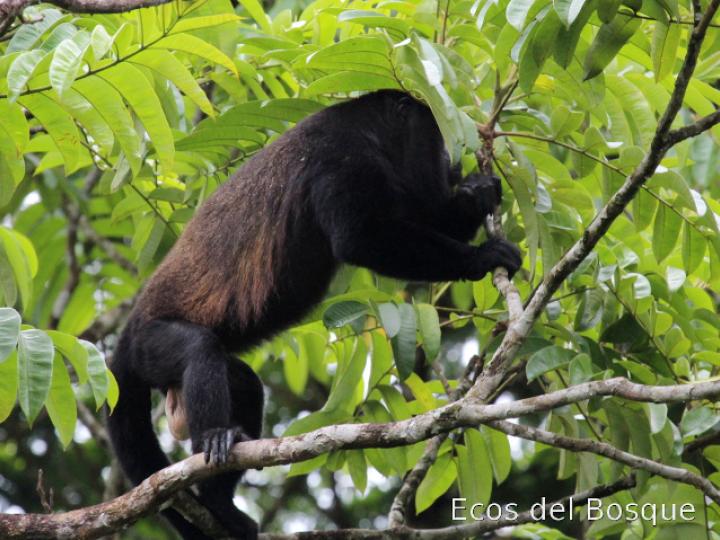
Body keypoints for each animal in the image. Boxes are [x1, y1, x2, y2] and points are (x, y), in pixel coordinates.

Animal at [106, 89, 522, 540]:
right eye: (438, 140)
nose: (452, 162)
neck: (369, 130)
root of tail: (122, 343)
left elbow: (423, 217)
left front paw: (479, 192)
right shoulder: (342, 159)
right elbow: (361, 239)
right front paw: (481, 257)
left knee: (245, 384)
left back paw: (220, 502)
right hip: (148, 344)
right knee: (198, 348)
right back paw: (213, 440)